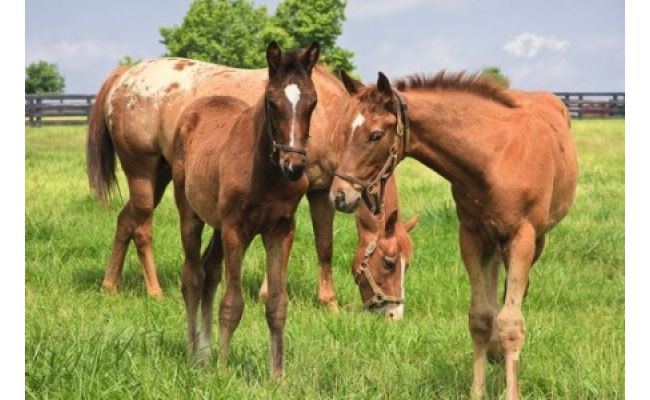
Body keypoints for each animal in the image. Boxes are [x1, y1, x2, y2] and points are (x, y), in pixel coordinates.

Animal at [85, 57, 416, 318]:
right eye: (388, 262)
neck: (330, 121)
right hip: (142, 172)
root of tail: (125, 76)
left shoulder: (321, 192)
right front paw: (268, 293)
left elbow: (325, 246)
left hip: (162, 176)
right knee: (142, 228)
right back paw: (154, 291)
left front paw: (329, 303)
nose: (393, 314)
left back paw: (109, 285)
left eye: (407, 264)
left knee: (125, 220)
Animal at [168, 42, 318, 376]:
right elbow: (232, 303)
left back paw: (205, 353)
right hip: (191, 214)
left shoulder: (281, 230)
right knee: (193, 276)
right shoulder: (236, 229)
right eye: (272, 102)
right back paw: (192, 351)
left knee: (210, 271)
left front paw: (277, 376)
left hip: (218, 225)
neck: (267, 171)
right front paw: (224, 371)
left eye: (313, 102)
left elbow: (276, 304)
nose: (294, 165)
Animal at [332, 70, 576, 398]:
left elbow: (511, 321)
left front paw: (510, 389)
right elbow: (480, 317)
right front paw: (478, 390)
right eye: (345, 130)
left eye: (375, 135)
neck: (494, 156)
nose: (339, 195)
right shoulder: (471, 235)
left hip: (535, 240)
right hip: (492, 242)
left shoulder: (521, 237)